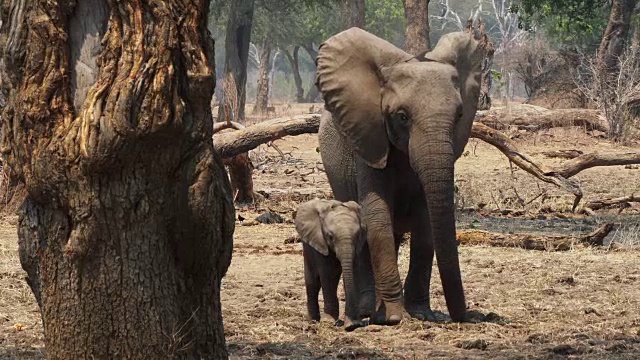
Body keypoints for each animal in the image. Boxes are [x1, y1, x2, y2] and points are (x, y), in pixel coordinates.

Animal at [296, 198, 364, 330]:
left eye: (357, 235)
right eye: (330, 236)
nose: (351, 326)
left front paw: (352, 323)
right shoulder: (320, 240)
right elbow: (328, 274)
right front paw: (329, 321)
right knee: (312, 282)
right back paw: (313, 320)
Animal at [316, 28, 484, 324]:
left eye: (459, 116)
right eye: (402, 116)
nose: (467, 317)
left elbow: (426, 221)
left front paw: (421, 313)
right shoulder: (368, 139)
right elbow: (376, 213)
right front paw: (394, 317)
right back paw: (368, 309)